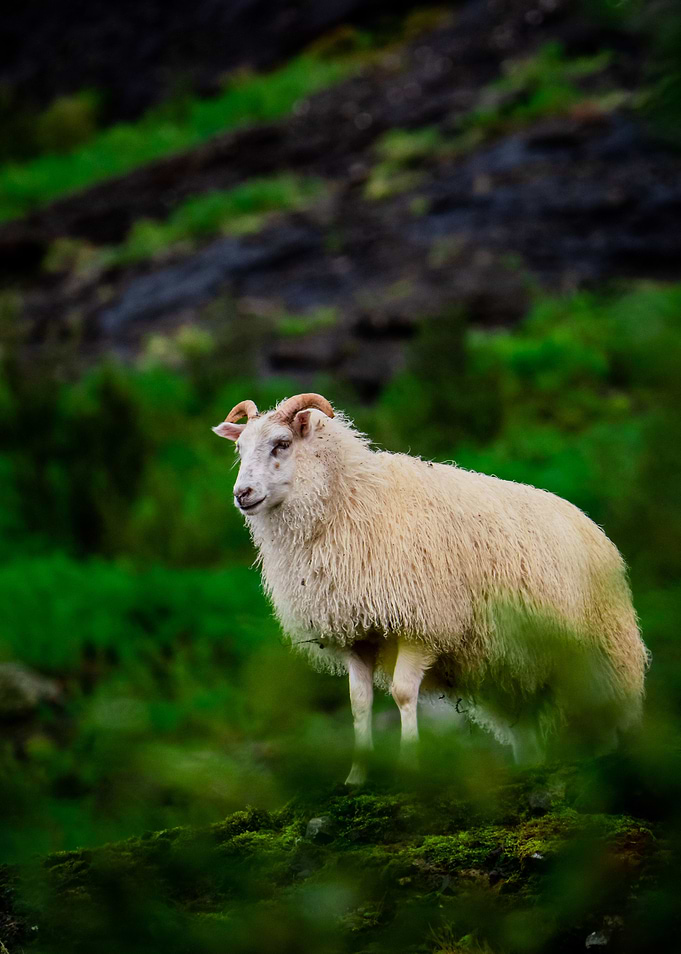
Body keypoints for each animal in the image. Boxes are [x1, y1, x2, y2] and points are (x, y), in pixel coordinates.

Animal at [213, 393, 649, 784]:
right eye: (239, 448)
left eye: (282, 443)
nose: (241, 495)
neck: (352, 502)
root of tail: (591, 524)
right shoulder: (356, 632)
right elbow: (359, 705)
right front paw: (357, 777)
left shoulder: (423, 623)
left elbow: (404, 694)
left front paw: (409, 768)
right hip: (520, 674)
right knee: (529, 727)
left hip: (601, 657)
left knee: (603, 715)